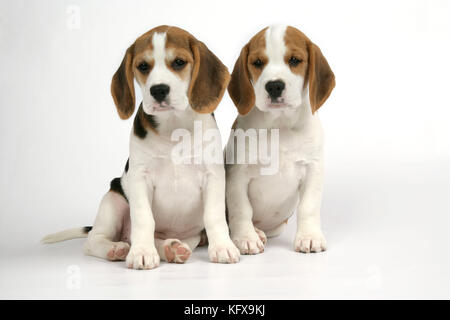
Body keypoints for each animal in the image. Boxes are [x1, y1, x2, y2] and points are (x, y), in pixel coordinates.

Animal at [41, 26, 239, 268]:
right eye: (143, 66)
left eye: (179, 62)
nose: (158, 90)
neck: (173, 127)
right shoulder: (139, 177)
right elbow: (144, 218)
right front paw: (142, 252)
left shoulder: (213, 175)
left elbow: (214, 216)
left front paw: (222, 247)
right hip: (113, 200)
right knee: (93, 240)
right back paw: (118, 248)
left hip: (189, 235)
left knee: (163, 239)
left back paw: (171, 248)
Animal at [224, 24, 334, 255]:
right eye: (258, 62)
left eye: (294, 60)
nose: (274, 86)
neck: (280, 125)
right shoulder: (238, 175)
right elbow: (241, 209)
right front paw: (246, 237)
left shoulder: (313, 169)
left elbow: (308, 207)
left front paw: (309, 236)